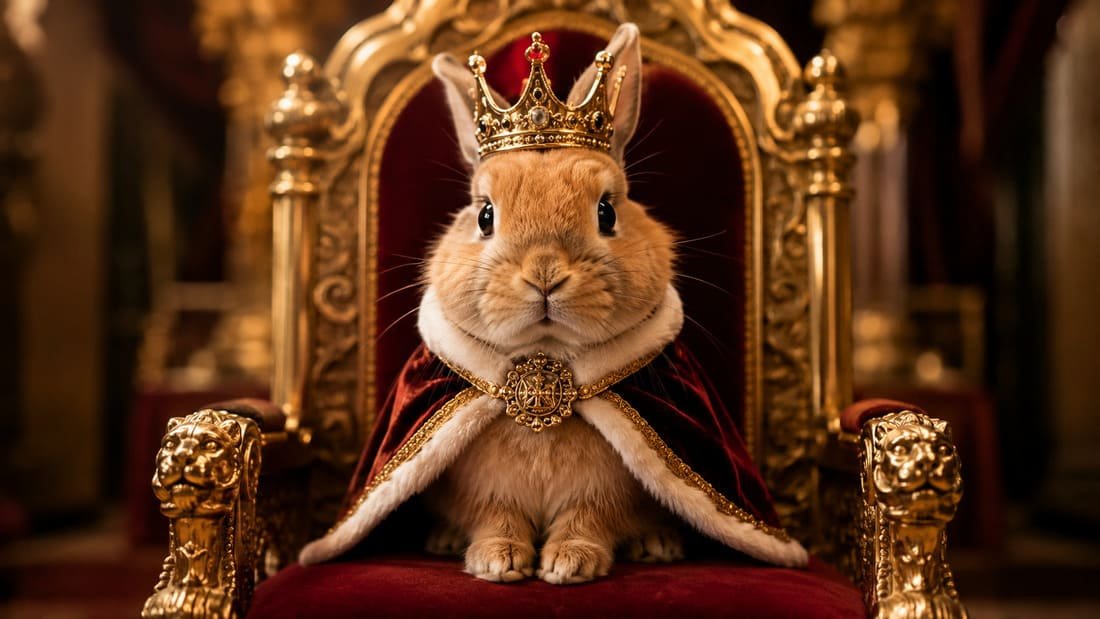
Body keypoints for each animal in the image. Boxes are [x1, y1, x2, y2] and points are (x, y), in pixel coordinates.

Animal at [421, 24, 687, 585]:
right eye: (484, 216)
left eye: (607, 212)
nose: (544, 275)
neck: (547, 357)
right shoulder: (482, 486)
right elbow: (496, 514)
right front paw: (498, 560)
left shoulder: (609, 490)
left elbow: (588, 518)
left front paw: (570, 563)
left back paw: (658, 545)